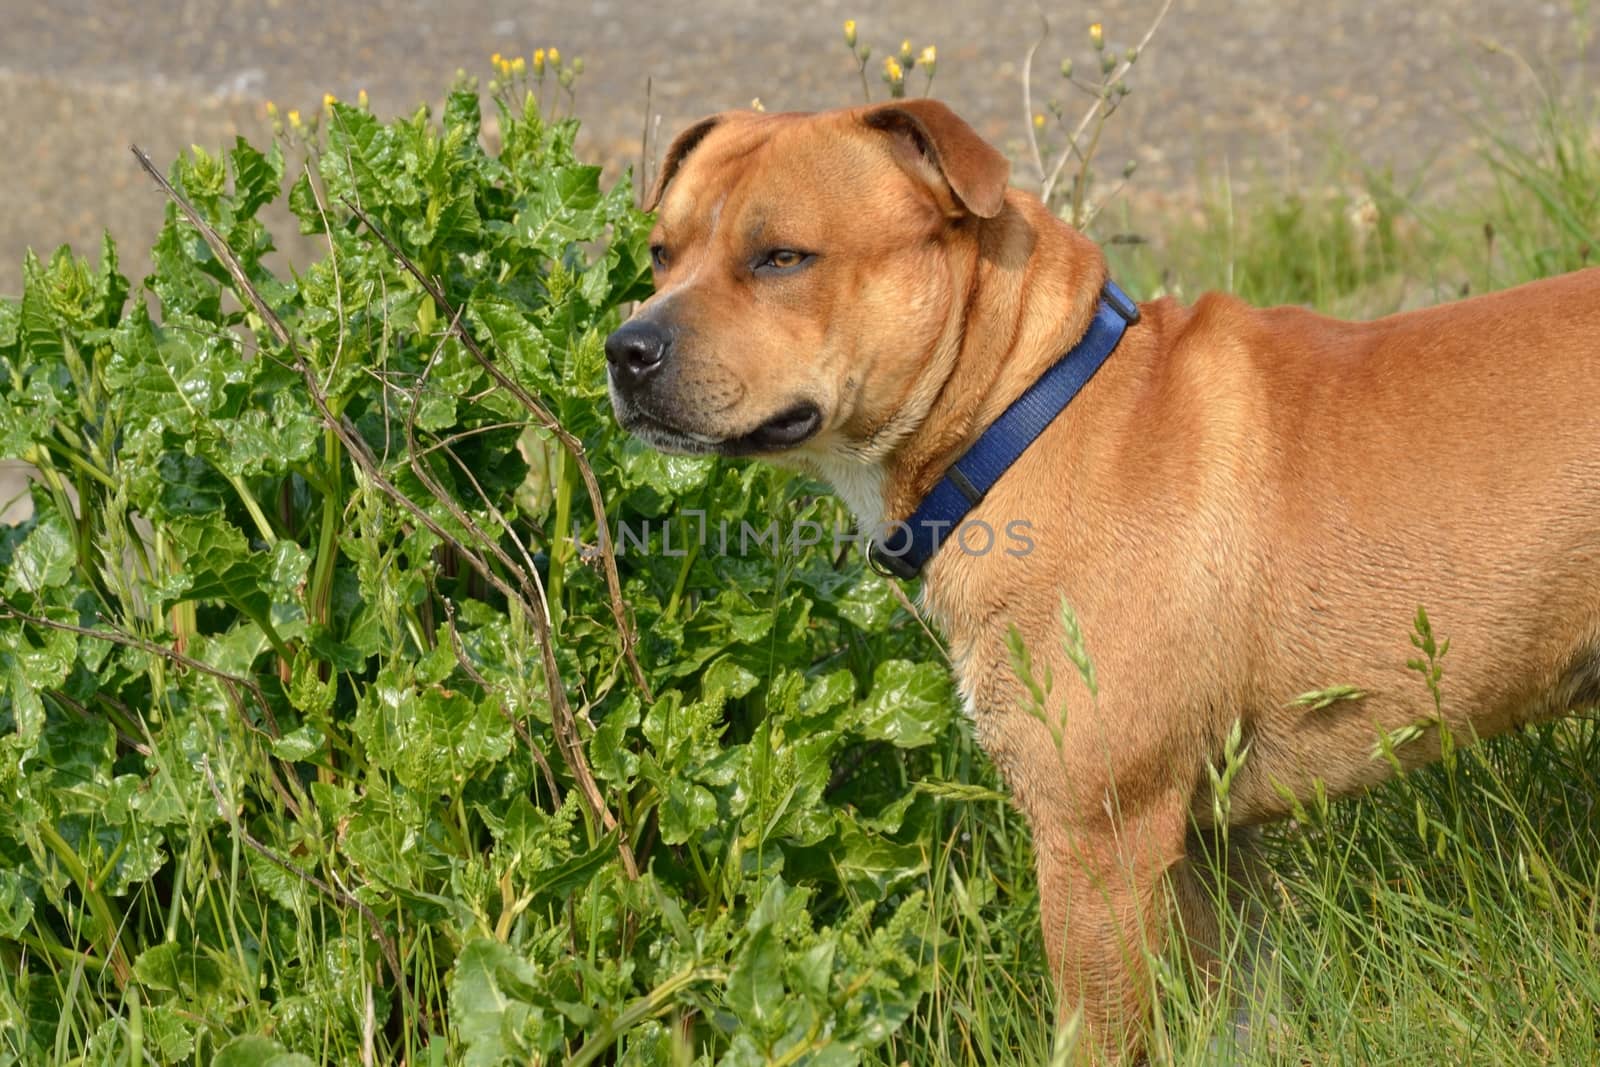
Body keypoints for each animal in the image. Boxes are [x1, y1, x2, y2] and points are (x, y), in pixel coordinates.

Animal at [601, 99, 1600, 1062]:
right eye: (661, 253)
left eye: (782, 258)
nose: (626, 348)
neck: (1022, 412)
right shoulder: (1208, 841)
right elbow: (1240, 1007)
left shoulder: (1097, 841)